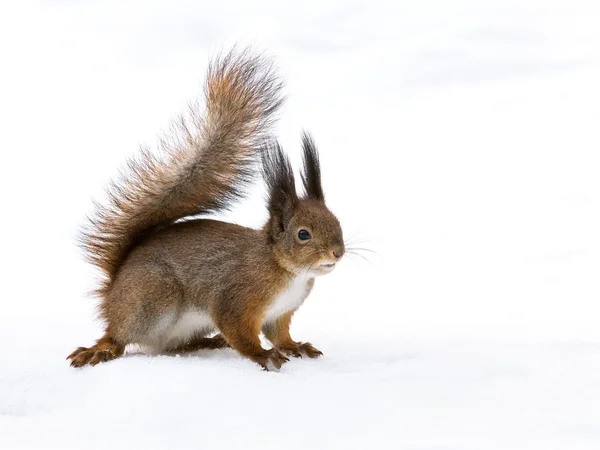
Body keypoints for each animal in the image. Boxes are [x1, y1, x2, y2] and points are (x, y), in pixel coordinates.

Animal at [66, 50, 344, 372]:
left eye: (337, 222)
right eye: (303, 234)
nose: (338, 252)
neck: (285, 270)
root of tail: (111, 295)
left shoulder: (279, 314)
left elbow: (279, 335)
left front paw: (295, 346)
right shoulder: (237, 299)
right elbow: (239, 332)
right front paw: (263, 355)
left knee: (171, 346)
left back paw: (205, 343)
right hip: (151, 300)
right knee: (120, 335)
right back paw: (101, 348)